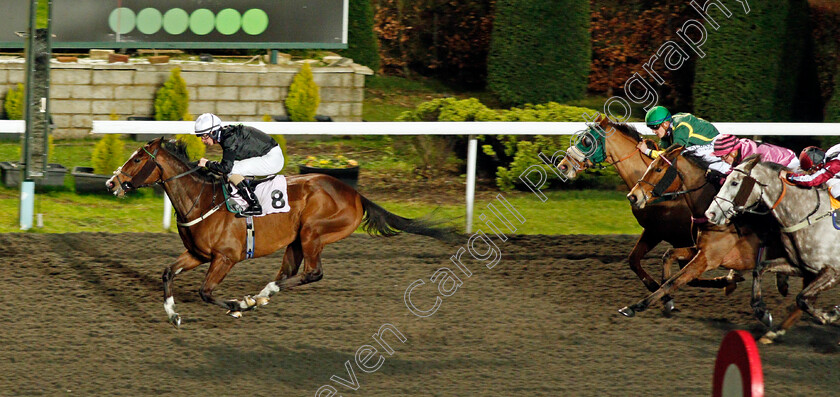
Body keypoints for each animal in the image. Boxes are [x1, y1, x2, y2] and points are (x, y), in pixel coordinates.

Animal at [108, 138, 456, 326]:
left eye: (136, 159)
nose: (111, 182)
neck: (201, 200)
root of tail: (355, 194)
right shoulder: (198, 254)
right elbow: (168, 272)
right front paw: (173, 315)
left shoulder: (225, 258)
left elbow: (206, 292)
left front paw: (238, 307)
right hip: (296, 240)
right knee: (290, 270)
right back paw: (262, 294)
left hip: (313, 232)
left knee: (312, 273)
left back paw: (260, 295)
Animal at [556, 114, 736, 312]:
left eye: (587, 141)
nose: (563, 166)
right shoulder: (654, 231)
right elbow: (634, 260)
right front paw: (662, 294)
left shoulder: (682, 238)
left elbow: (689, 274)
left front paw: (726, 280)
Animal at [624, 147, 800, 342]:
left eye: (658, 169)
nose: (633, 196)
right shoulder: (698, 249)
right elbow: (668, 255)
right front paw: (668, 300)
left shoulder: (708, 259)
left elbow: (674, 280)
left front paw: (634, 306)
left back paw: (775, 328)